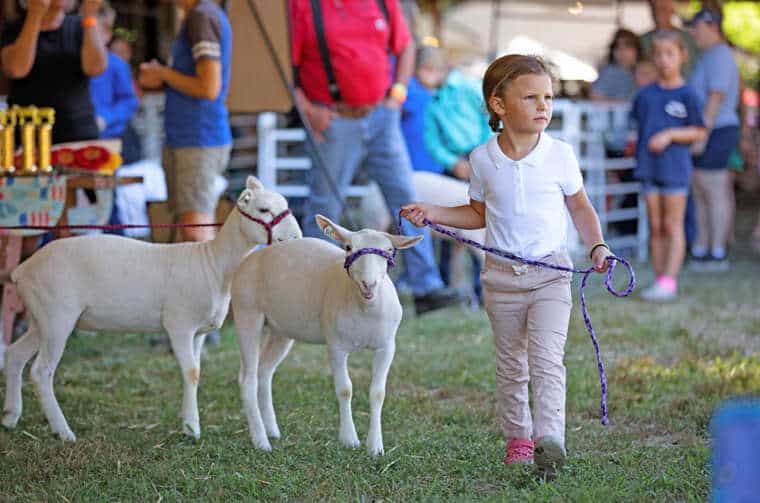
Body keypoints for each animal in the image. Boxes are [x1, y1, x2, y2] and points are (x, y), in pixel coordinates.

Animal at [1, 176, 302, 440]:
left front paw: (188, 423)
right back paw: (63, 432)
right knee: (41, 372)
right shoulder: (179, 325)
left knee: (15, 356)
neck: (213, 263)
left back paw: (10, 417)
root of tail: (22, 270)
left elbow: (196, 372)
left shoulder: (198, 333)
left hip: (40, 319)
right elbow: (191, 372)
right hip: (57, 317)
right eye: (263, 209)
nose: (296, 238)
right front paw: (192, 429)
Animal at [232, 215, 422, 458]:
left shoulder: (386, 347)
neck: (364, 308)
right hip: (247, 313)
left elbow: (378, 393)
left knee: (264, 372)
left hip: (280, 329)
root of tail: (250, 259)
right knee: (247, 378)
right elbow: (345, 389)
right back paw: (261, 440)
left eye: (389, 250)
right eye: (348, 247)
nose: (369, 284)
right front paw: (349, 439)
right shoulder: (336, 347)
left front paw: (375, 446)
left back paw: (272, 430)